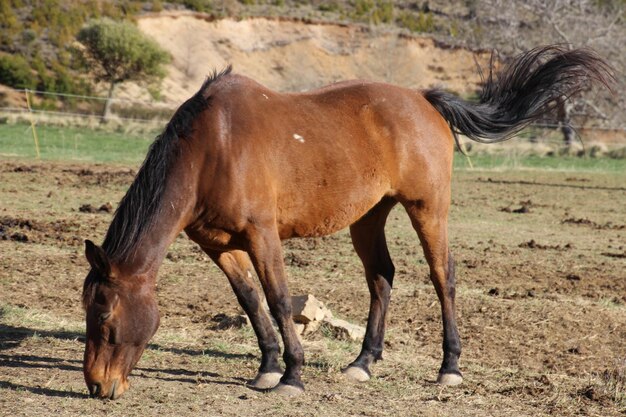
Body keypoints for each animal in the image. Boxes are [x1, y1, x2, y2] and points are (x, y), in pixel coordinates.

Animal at [79, 44, 608, 398]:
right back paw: (363, 362)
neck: (214, 147)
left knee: (443, 276)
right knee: (382, 278)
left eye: (104, 317)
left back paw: (450, 368)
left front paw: (292, 375)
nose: (98, 386)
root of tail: (424, 99)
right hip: (368, 218)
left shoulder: (262, 236)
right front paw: (267, 366)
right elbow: (250, 301)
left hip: (428, 208)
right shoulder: (218, 243)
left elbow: (277, 298)